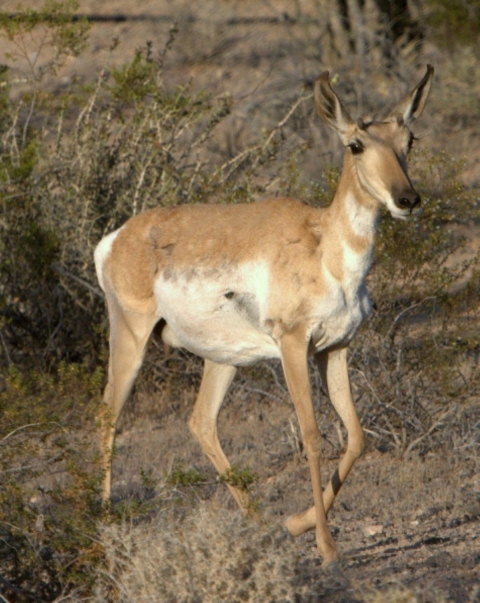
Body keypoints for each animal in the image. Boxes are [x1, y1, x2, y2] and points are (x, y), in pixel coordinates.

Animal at [95, 67, 434, 568]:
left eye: (408, 139)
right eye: (355, 144)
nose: (406, 200)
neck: (326, 247)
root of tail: (117, 237)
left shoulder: (335, 348)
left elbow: (356, 436)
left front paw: (296, 523)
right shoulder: (293, 346)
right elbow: (312, 434)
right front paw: (326, 546)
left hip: (223, 359)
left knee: (201, 421)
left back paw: (260, 525)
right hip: (131, 340)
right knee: (108, 416)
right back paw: (101, 529)